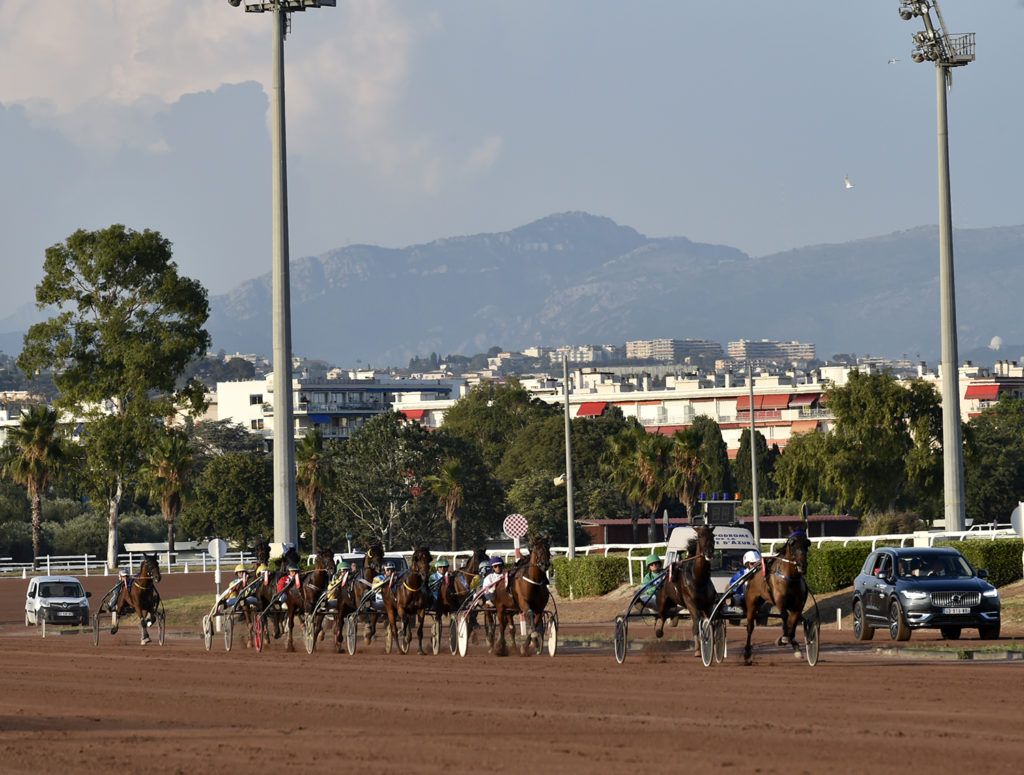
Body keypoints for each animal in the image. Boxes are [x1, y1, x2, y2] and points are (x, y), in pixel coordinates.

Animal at [741, 532, 811, 663]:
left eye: (807, 544)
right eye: (793, 545)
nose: (802, 565)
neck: (791, 578)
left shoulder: (797, 607)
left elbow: (793, 624)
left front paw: (794, 646)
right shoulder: (779, 599)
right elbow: (784, 616)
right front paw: (784, 638)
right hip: (752, 603)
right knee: (750, 627)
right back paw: (747, 652)